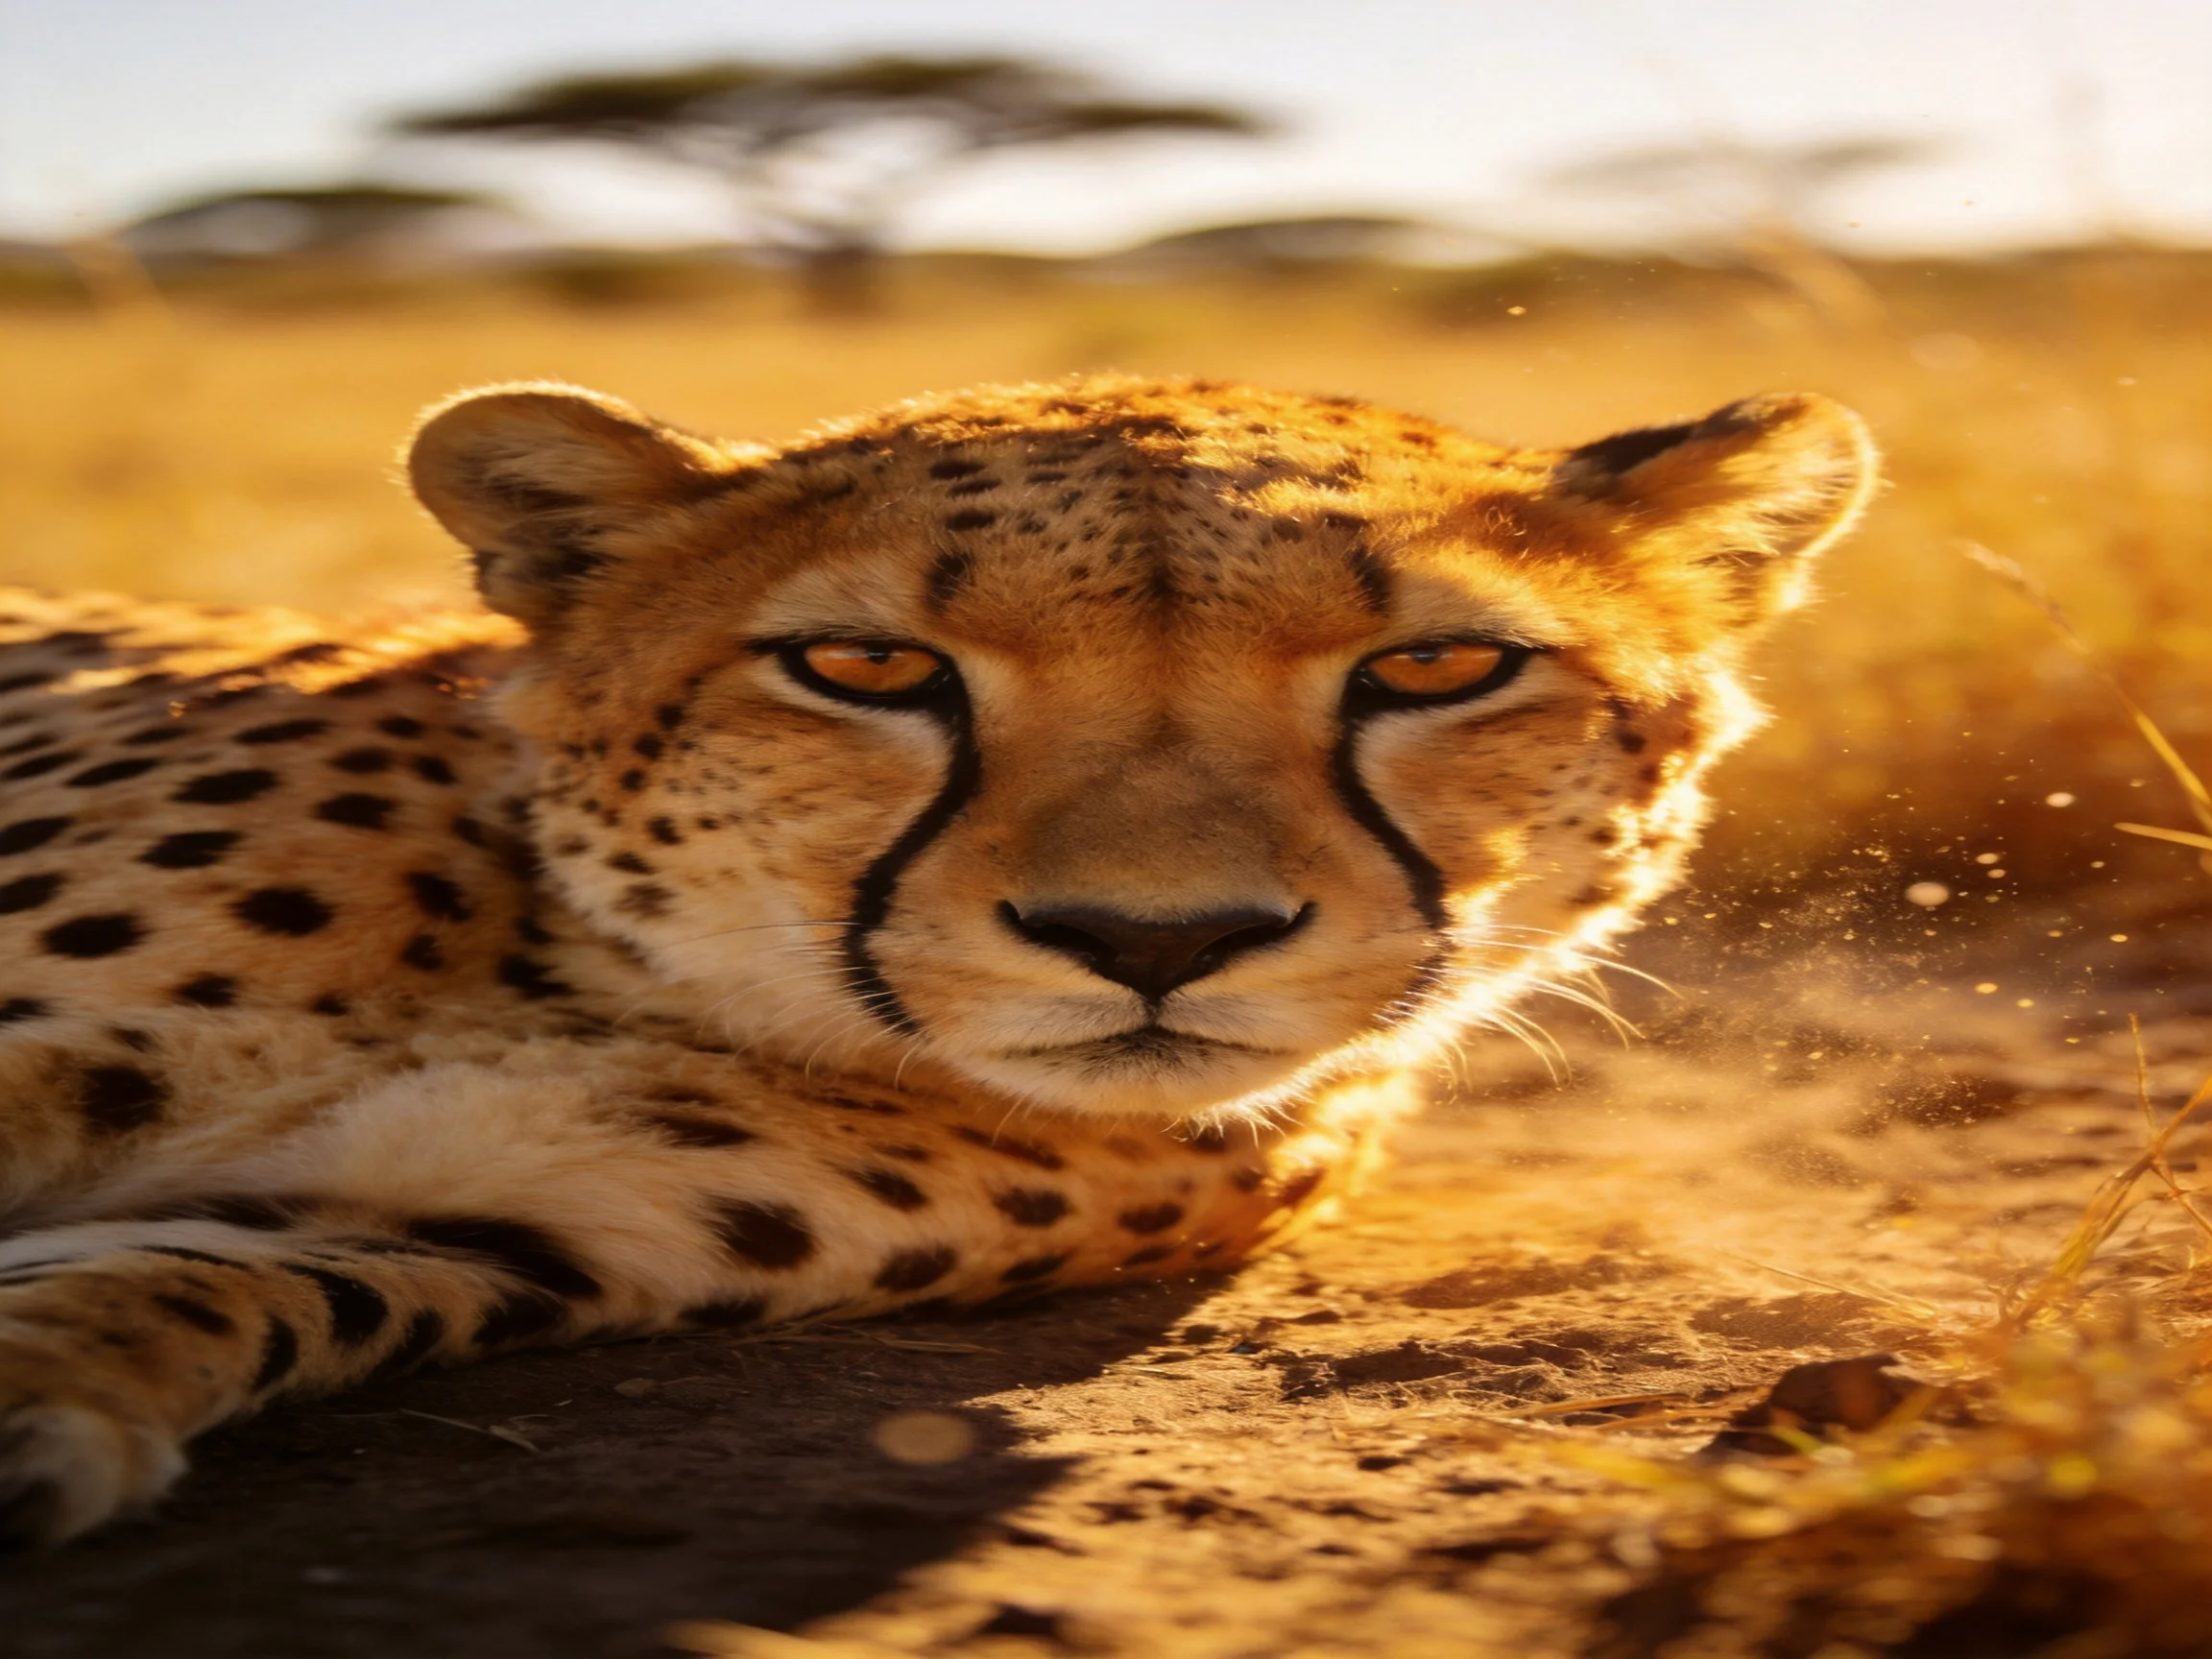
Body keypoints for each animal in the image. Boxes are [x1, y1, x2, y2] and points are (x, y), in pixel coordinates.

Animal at [0, 373, 1873, 1545]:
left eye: (1433, 668)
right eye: (863, 665)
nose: (1155, 936)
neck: (599, 977)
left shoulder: (466, 1220)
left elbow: (196, 1277)